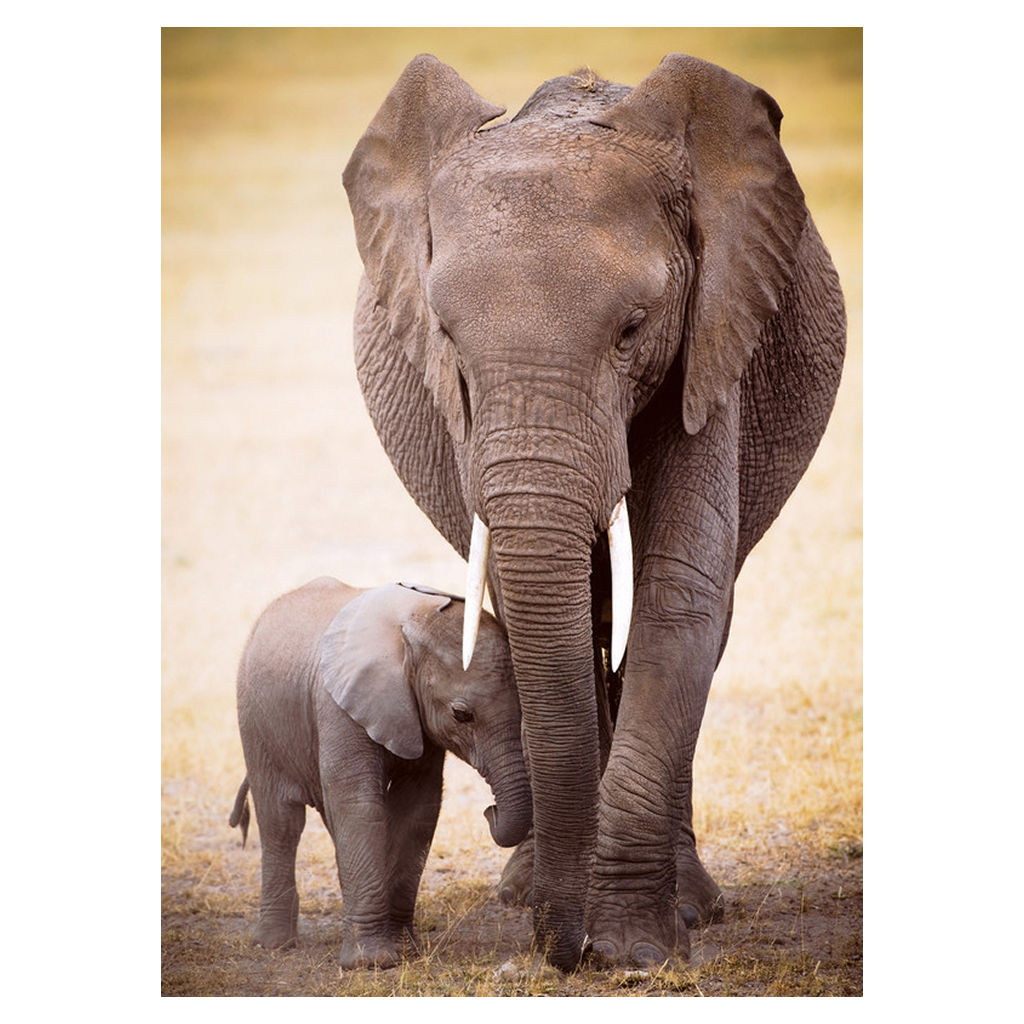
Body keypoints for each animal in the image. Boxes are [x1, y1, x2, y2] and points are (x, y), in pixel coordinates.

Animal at [230, 577, 531, 970]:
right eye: (462, 715)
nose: (489, 811)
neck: (412, 625)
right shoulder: (338, 705)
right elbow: (359, 805)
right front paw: (370, 963)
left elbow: (417, 808)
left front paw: (405, 950)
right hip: (255, 722)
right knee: (281, 821)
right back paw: (275, 944)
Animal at [342, 53, 846, 971]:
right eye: (446, 337)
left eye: (633, 329)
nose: (561, 951)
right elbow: (546, 604)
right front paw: (583, 924)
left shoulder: (713, 335)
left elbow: (680, 591)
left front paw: (636, 951)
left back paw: (690, 905)